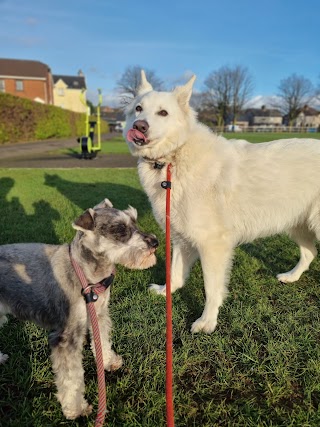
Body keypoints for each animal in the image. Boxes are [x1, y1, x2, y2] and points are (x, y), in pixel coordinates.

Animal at [0, 200, 158, 422]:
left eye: (134, 220)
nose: (155, 241)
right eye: (119, 229)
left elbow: (102, 341)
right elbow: (71, 377)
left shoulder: (98, 314)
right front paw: (75, 408)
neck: (86, 274)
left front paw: (108, 361)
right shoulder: (67, 336)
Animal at [124, 71, 320, 334]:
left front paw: (207, 321)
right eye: (138, 109)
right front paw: (166, 292)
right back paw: (292, 277)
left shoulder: (213, 245)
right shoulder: (182, 239)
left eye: (163, 113)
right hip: (297, 224)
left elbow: (211, 289)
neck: (173, 158)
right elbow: (175, 274)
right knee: (309, 253)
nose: (139, 126)